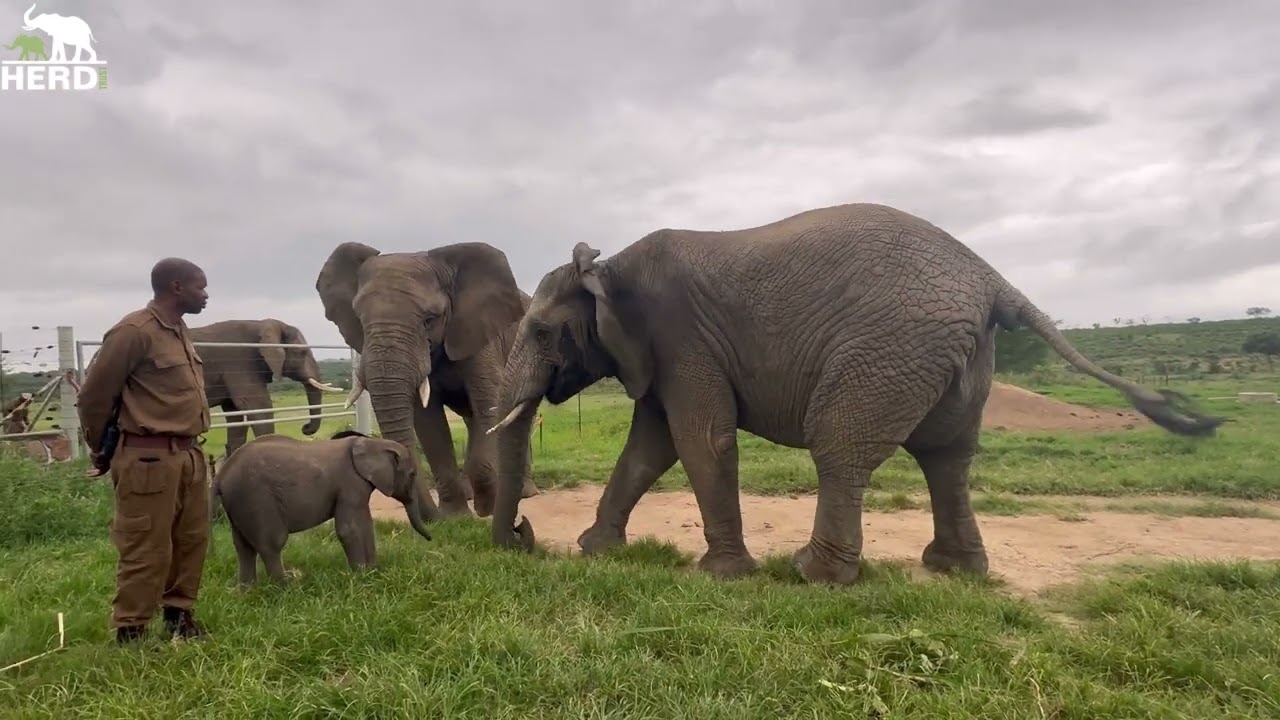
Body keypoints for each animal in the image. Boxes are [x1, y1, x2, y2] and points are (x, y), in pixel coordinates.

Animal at [188, 318, 345, 457]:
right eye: (302, 353)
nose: (305, 428)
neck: (262, 324)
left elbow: (235, 413)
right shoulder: (239, 363)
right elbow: (259, 406)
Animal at [211, 429, 432, 585]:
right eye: (412, 474)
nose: (431, 539)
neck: (371, 443)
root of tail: (220, 476)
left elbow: (366, 525)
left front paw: (373, 571)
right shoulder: (349, 483)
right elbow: (348, 529)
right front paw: (360, 576)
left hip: (240, 505)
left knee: (243, 546)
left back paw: (247, 591)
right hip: (257, 499)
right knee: (272, 543)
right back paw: (285, 586)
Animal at [316, 240, 540, 522]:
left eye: (429, 320)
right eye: (359, 319)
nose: (432, 518)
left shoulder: (482, 337)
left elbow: (490, 405)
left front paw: (486, 509)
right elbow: (428, 421)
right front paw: (455, 517)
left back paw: (525, 493)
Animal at [486, 202, 1224, 585]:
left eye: (544, 331)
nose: (522, 537)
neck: (608, 268)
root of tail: (994, 280)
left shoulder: (681, 338)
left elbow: (699, 440)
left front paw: (722, 576)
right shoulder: (661, 353)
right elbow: (651, 445)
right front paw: (596, 551)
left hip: (890, 344)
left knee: (839, 446)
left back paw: (812, 575)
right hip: (951, 354)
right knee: (948, 455)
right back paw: (954, 571)